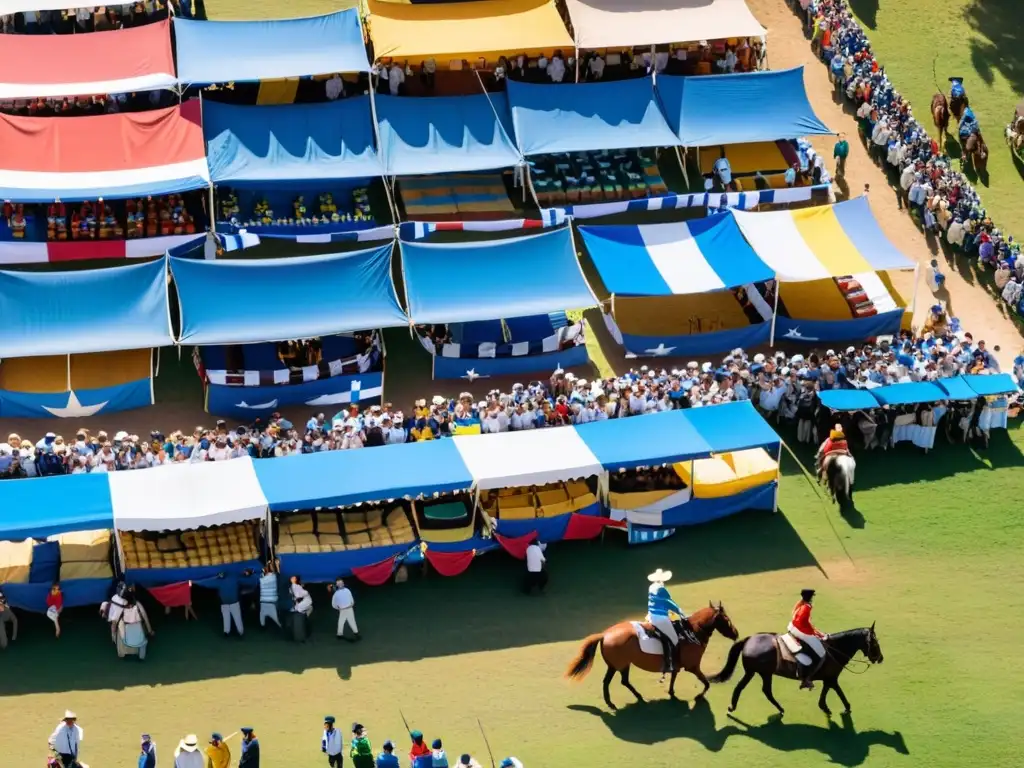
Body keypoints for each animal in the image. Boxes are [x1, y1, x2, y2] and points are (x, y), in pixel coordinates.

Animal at [565, 606, 741, 712]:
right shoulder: (693, 666)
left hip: (620, 665)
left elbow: (674, 676)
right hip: (618, 665)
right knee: (610, 682)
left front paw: (671, 692)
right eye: (726, 620)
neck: (691, 632)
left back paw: (636, 696)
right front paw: (699, 696)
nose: (736, 633)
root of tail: (605, 634)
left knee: (622, 681)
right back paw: (612, 703)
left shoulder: (677, 664)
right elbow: (705, 682)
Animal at [708, 622, 884, 720]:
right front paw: (845, 707)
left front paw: (825, 706)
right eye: (875, 643)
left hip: (760, 673)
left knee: (762, 690)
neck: (835, 649)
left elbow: (828, 692)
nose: (880, 658)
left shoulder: (829, 679)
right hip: (759, 672)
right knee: (751, 689)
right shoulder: (832, 678)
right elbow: (839, 692)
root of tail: (749, 639)